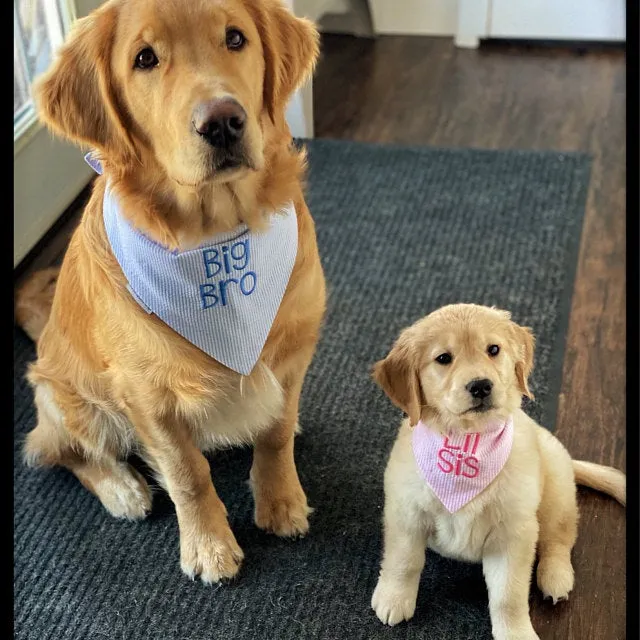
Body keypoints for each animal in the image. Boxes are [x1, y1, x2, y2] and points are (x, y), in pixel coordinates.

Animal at [18, 0, 328, 584]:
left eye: (235, 38)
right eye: (145, 58)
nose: (223, 121)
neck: (217, 238)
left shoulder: (293, 353)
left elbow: (274, 433)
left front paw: (280, 499)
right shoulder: (148, 395)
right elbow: (187, 472)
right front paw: (208, 545)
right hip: (65, 396)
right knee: (60, 451)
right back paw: (121, 488)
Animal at [370, 304, 624, 640]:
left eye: (493, 350)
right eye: (443, 358)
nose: (480, 385)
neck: (467, 441)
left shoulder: (513, 534)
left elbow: (508, 596)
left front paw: (516, 633)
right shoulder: (406, 512)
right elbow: (403, 561)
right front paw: (394, 598)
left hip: (556, 490)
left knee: (559, 538)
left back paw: (556, 576)